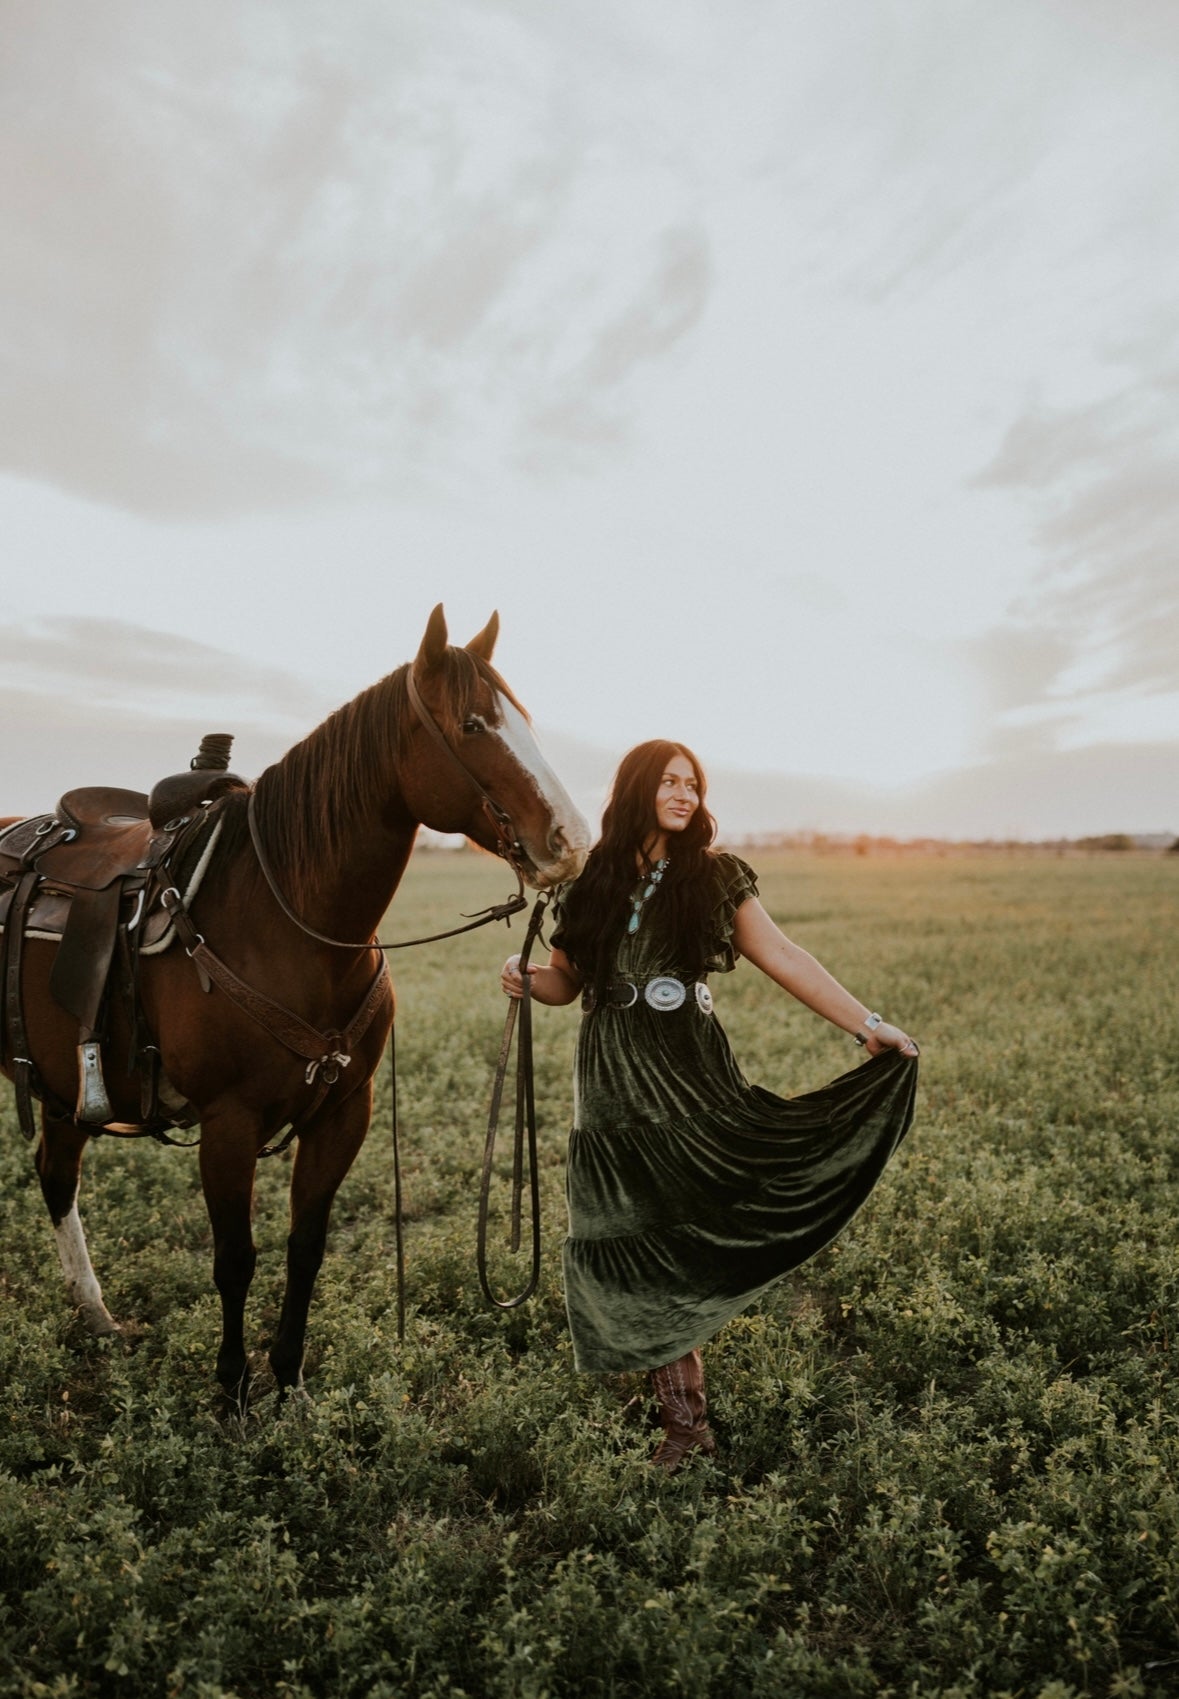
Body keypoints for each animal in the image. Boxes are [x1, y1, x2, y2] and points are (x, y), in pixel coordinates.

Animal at [0, 611, 591, 1406]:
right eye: (472, 724)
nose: (572, 842)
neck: (289, 923)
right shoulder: (228, 1122)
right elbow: (234, 1257)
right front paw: (232, 1391)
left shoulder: (343, 1113)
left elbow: (305, 1247)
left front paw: (289, 1381)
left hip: (65, 1085)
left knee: (57, 1174)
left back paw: (96, 1317)